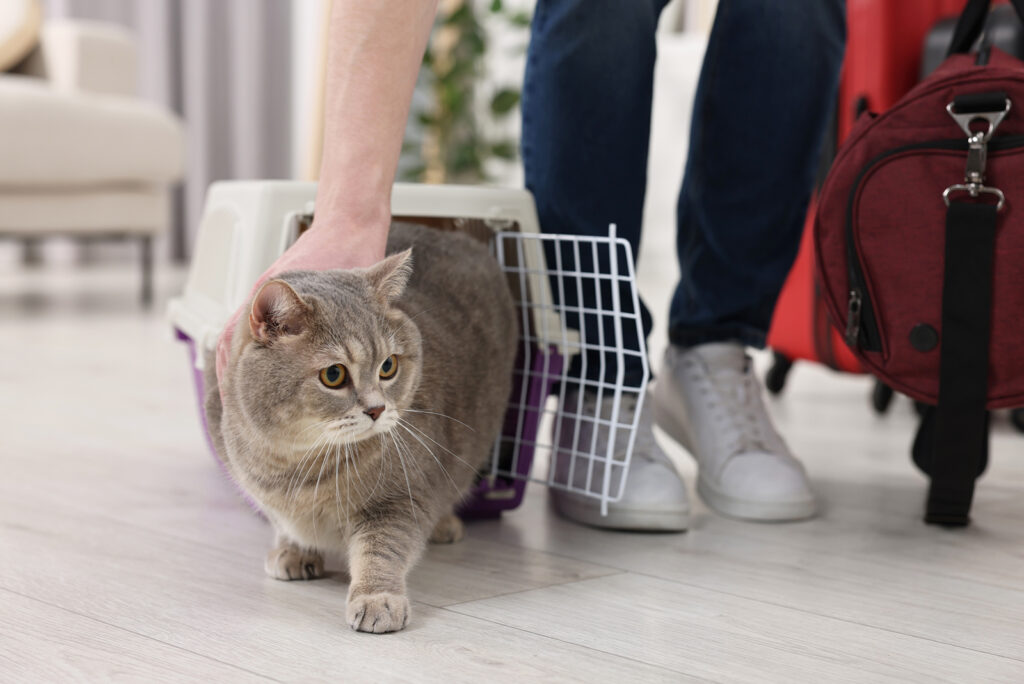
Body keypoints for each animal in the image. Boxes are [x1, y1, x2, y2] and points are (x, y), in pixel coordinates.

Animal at [203, 224, 516, 634]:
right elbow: (282, 522)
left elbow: (381, 549)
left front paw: (377, 598)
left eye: (389, 366)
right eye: (334, 375)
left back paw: (445, 524)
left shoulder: (400, 498)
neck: (298, 465)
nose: (377, 408)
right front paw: (293, 550)